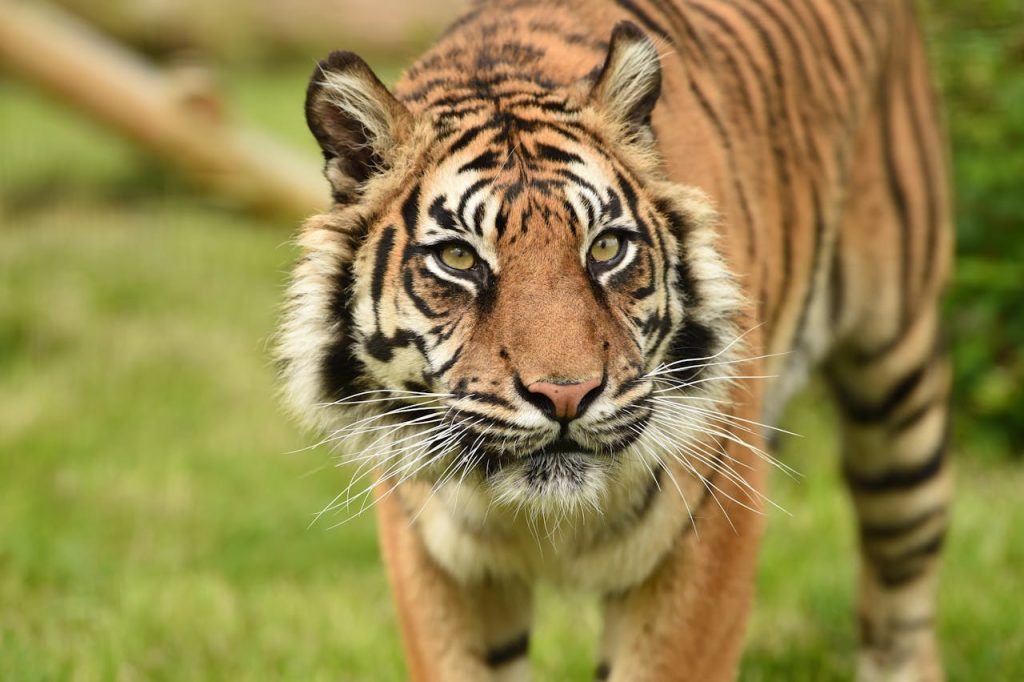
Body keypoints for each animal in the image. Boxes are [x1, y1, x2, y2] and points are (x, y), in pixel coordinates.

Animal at [276, 0, 953, 679]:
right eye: (458, 258)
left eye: (605, 248)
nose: (566, 396)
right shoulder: (432, 553)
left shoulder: (710, 528)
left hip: (898, 395)